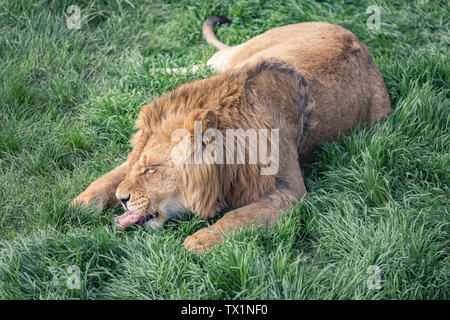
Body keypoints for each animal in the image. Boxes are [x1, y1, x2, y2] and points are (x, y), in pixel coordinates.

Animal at [69, 16, 390, 252]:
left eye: (152, 170)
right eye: (142, 165)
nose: (122, 199)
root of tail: (358, 39)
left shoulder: (291, 191)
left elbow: (240, 216)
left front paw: (199, 241)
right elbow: (112, 175)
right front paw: (81, 204)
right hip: (240, 54)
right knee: (208, 60)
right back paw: (151, 71)